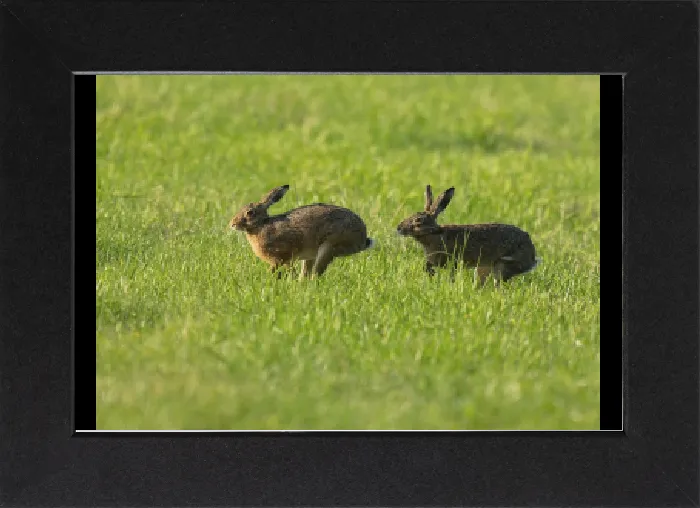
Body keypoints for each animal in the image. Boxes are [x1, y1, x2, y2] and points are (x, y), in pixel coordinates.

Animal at [229, 184, 375, 279]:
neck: (261, 225)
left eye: (250, 212)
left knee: (315, 274)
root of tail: (363, 239)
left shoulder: (281, 256)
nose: (232, 224)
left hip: (329, 246)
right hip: (311, 256)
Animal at [396, 185, 541, 285]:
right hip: (483, 268)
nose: (399, 228)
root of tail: (532, 259)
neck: (434, 233)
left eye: (418, 220)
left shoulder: (452, 262)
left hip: (502, 265)